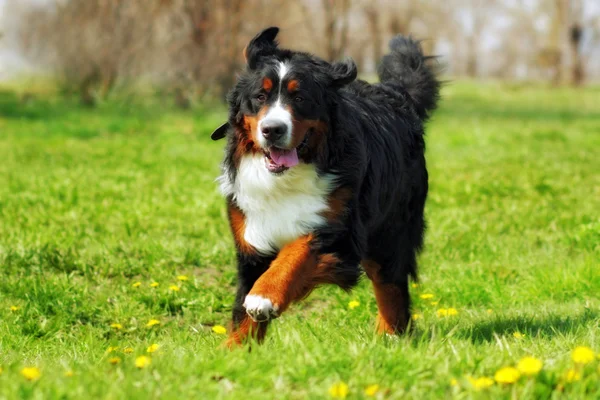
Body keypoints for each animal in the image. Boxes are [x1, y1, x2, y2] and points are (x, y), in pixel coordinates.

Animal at [211, 27, 440, 346]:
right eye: (259, 96)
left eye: (300, 97)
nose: (272, 130)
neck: (287, 178)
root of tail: (395, 94)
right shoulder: (251, 237)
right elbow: (242, 314)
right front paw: (234, 352)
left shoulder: (341, 231)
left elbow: (297, 251)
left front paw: (264, 295)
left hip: (390, 231)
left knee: (390, 286)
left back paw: (390, 337)